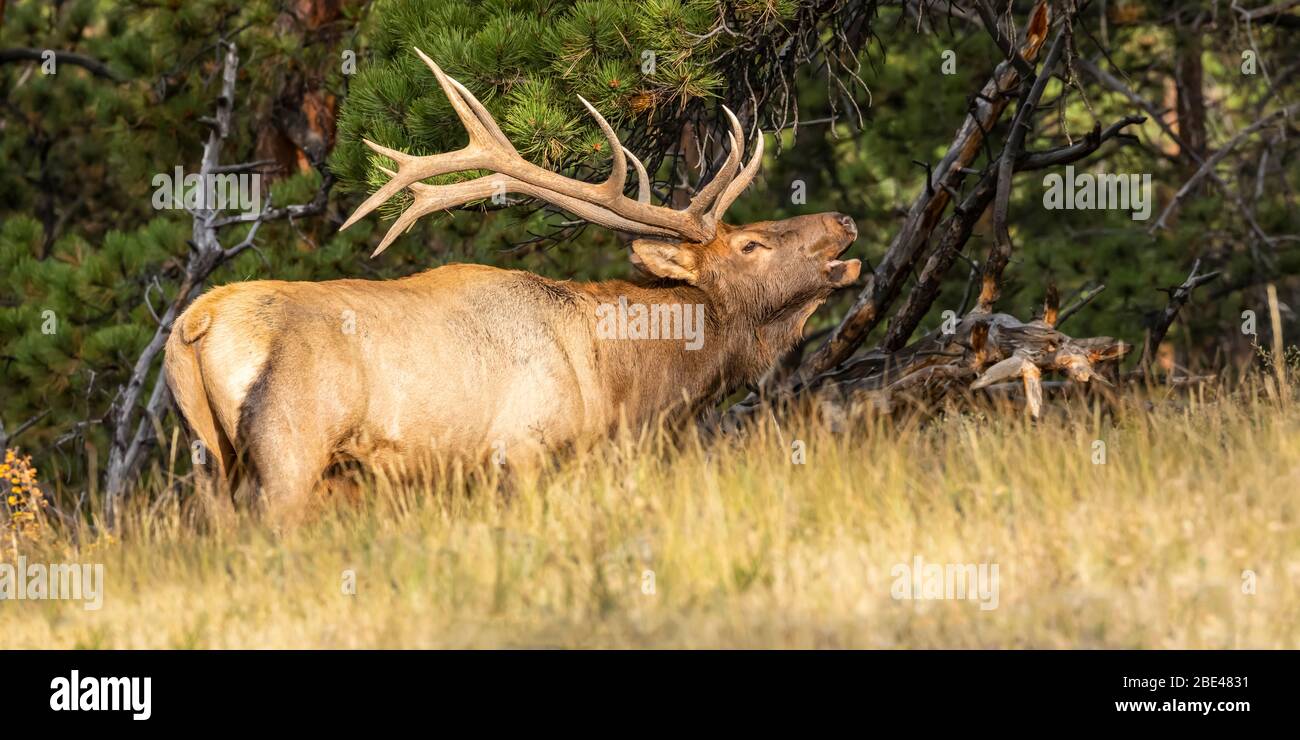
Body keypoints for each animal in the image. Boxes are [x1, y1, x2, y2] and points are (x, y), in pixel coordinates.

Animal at [165, 47, 863, 520]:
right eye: (751, 245)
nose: (843, 221)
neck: (620, 383)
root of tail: (194, 324)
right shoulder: (522, 449)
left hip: (210, 462)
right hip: (289, 449)